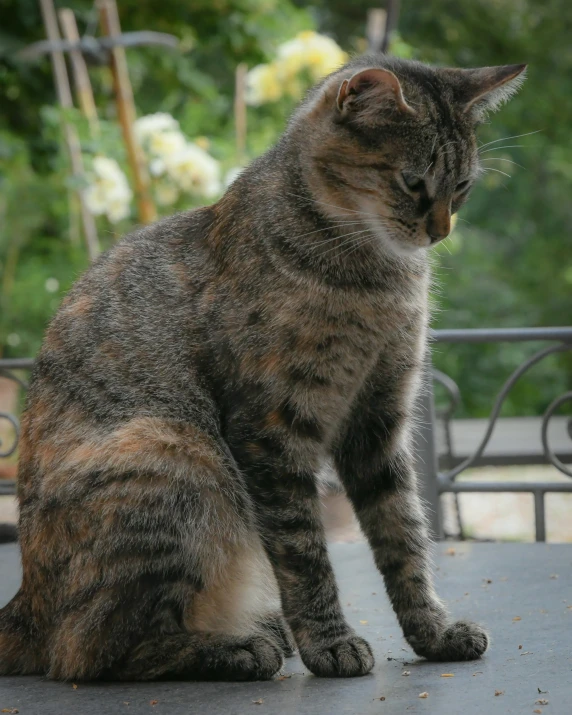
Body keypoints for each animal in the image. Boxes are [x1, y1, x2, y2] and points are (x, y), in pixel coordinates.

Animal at [0, 56, 528, 684]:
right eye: (412, 181)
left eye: (463, 185)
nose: (441, 230)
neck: (376, 277)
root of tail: (24, 605)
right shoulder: (272, 429)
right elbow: (304, 554)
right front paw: (329, 643)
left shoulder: (377, 421)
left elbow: (405, 538)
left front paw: (434, 632)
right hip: (172, 450)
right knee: (88, 651)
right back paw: (237, 648)